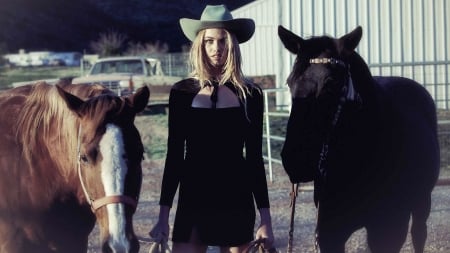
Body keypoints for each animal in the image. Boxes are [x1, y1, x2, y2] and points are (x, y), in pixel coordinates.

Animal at [278, 24, 440, 253]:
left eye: (331, 84)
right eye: (290, 82)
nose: (295, 161)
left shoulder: (389, 229)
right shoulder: (329, 233)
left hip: (422, 201)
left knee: (419, 234)